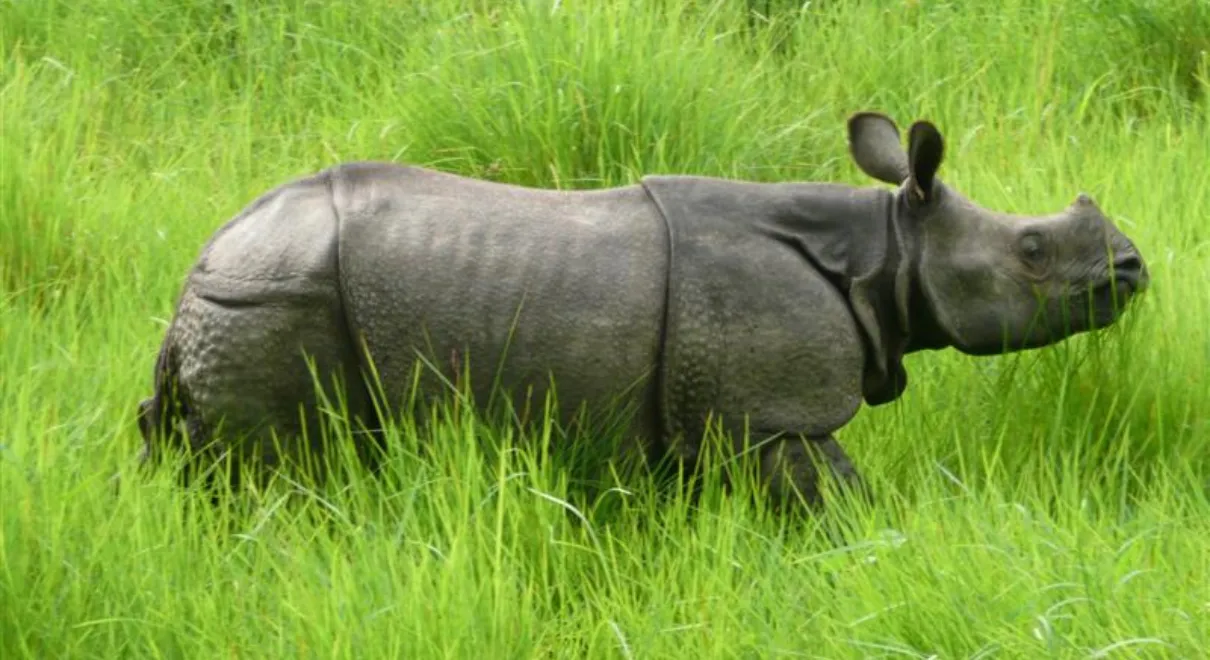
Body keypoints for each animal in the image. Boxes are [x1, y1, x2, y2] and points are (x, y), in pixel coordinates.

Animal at [135, 111, 1149, 510]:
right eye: (1031, 251)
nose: (1135, 267)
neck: (884, 250)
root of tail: (198, 272)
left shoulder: (708, 415)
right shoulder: (771, 417)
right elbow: (837, 499)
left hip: (247, 299)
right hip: (274, 299)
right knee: (284, 479)